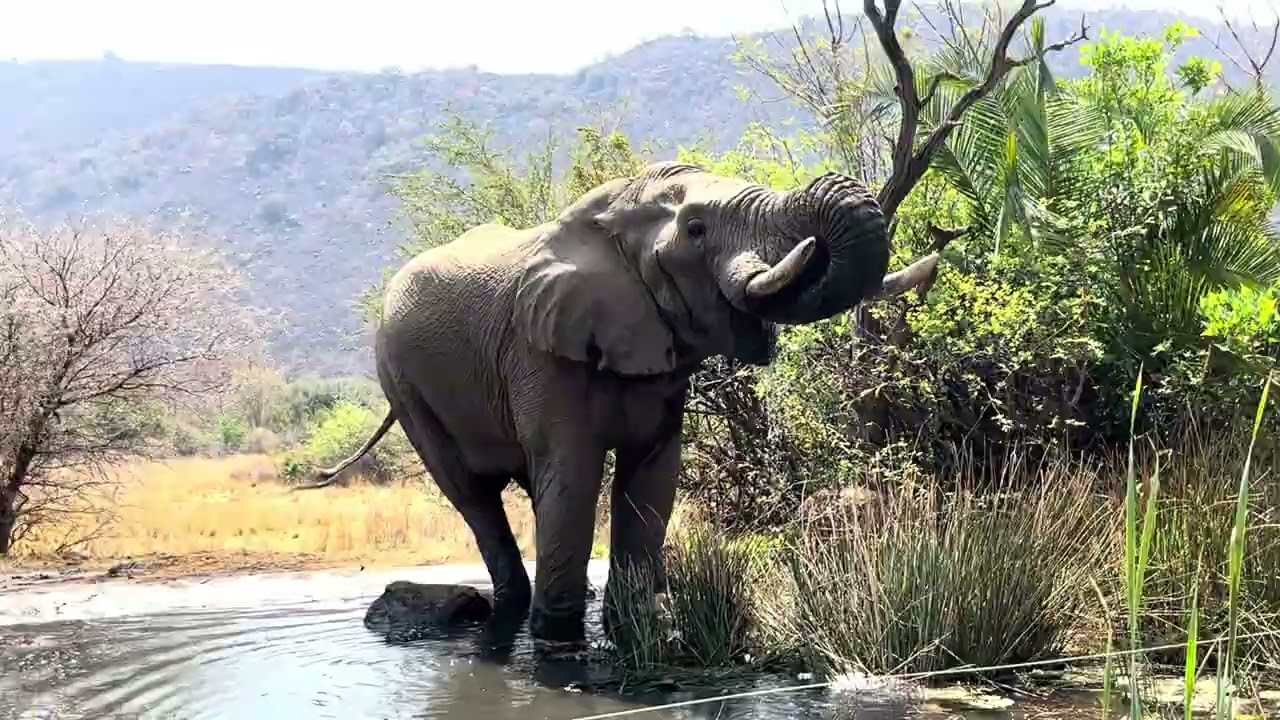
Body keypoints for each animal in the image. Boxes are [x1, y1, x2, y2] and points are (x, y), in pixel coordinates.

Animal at [306, 161, 948, 652]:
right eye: (696, 229)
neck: (609, 224)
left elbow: (653, 476)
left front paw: (636, 630)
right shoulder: (539, 351)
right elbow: (573, 474)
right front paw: (561, 645)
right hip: (403, 382)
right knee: (472, 495)